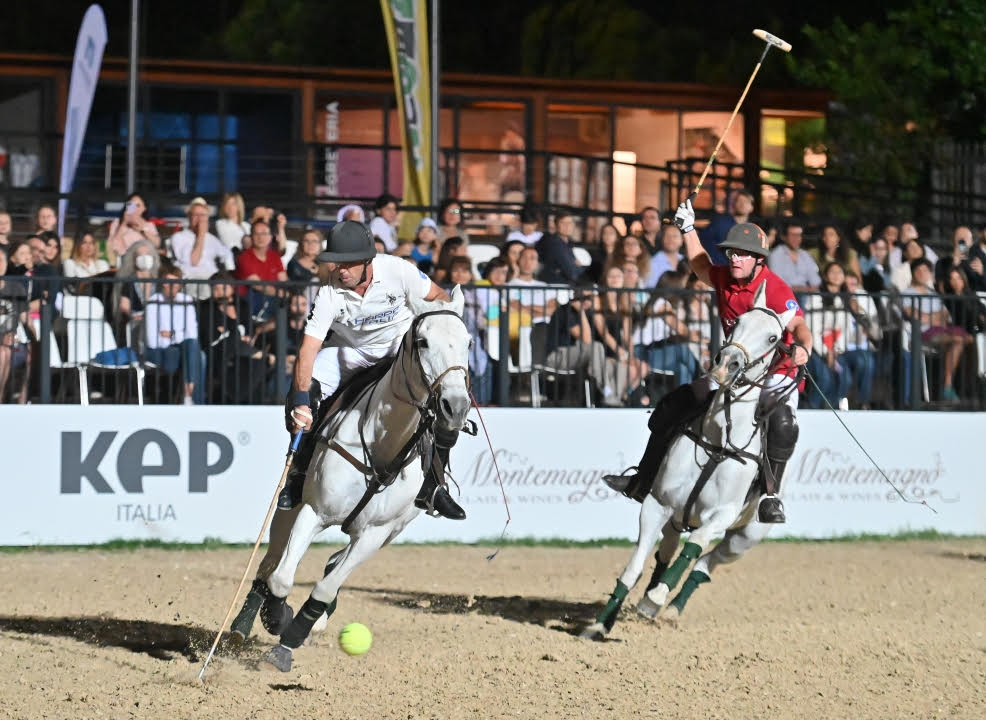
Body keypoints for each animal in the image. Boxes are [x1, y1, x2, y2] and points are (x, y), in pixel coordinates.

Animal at [227, 286, 472, 668]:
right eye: (422, 342)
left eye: (468, 342)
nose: (456, 406)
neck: (384, 445)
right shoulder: (314, 512)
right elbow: (282, 578)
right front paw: (278, 617)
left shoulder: (377, 533)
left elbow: (326, 586)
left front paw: (292, 638)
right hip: (289, 509)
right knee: (270, 561)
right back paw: (243, 623)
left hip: (395, 528)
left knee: (331, 564)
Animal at [580, 284, 796, 640]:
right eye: (737, 321)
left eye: (773, 338)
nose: (727, 364)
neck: (719, 440)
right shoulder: (658, 504)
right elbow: (634, 567)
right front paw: (599, 625)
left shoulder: (720, 516)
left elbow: (694, 547)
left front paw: (655, 600)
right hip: (677, 517)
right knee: (667, 552)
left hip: (746, 536)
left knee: (706, 563)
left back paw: (669, 607)